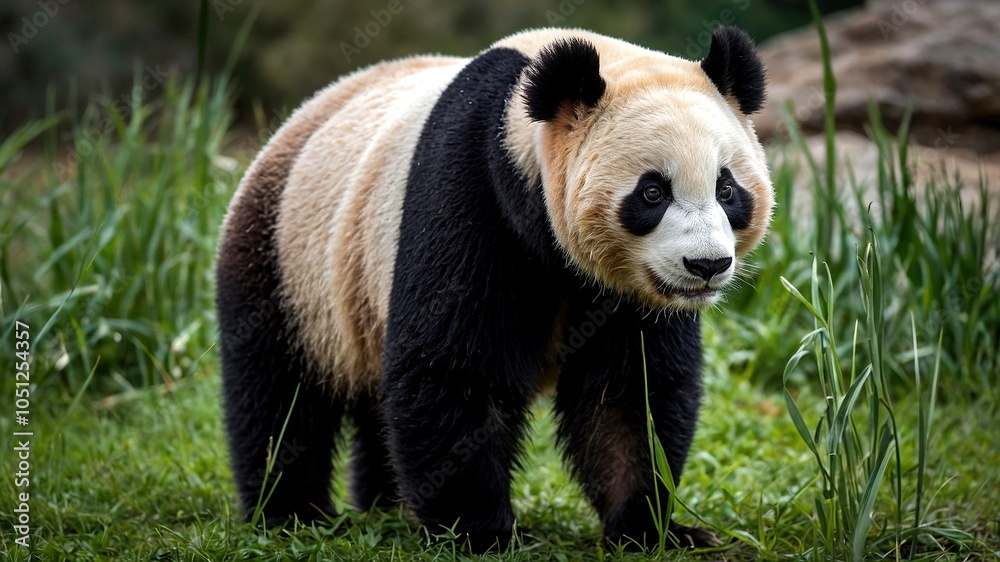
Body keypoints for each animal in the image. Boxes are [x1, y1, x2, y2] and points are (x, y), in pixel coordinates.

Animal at [216, 26, 772, 551]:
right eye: (653, 192)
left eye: (727, 189)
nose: (707, 265)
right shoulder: (472, 184)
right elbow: (454, 366)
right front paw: (480, 532)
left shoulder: (628, 293)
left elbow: (630, 389)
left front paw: (653, 529)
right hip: (287, 260)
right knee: (278, 396)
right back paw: (291, 511)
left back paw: (386, 504)